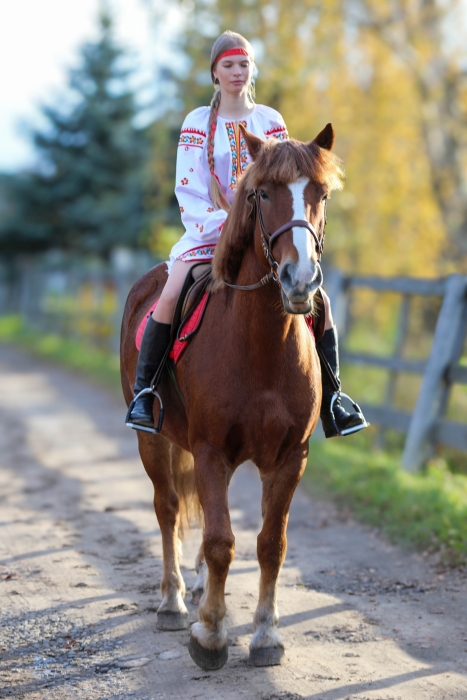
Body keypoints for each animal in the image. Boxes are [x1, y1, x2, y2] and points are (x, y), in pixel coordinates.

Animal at [120, 123, 345, 671]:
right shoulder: (210, 451)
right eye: (261, 193)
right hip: (153, 441)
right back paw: (174, 602)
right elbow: (221, 540)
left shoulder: (289, 458)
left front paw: (265, 635)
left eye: (321, 194)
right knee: (168, 509)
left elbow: (271, 544)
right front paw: (210, 636)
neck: (261, 348)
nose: (300, 280)